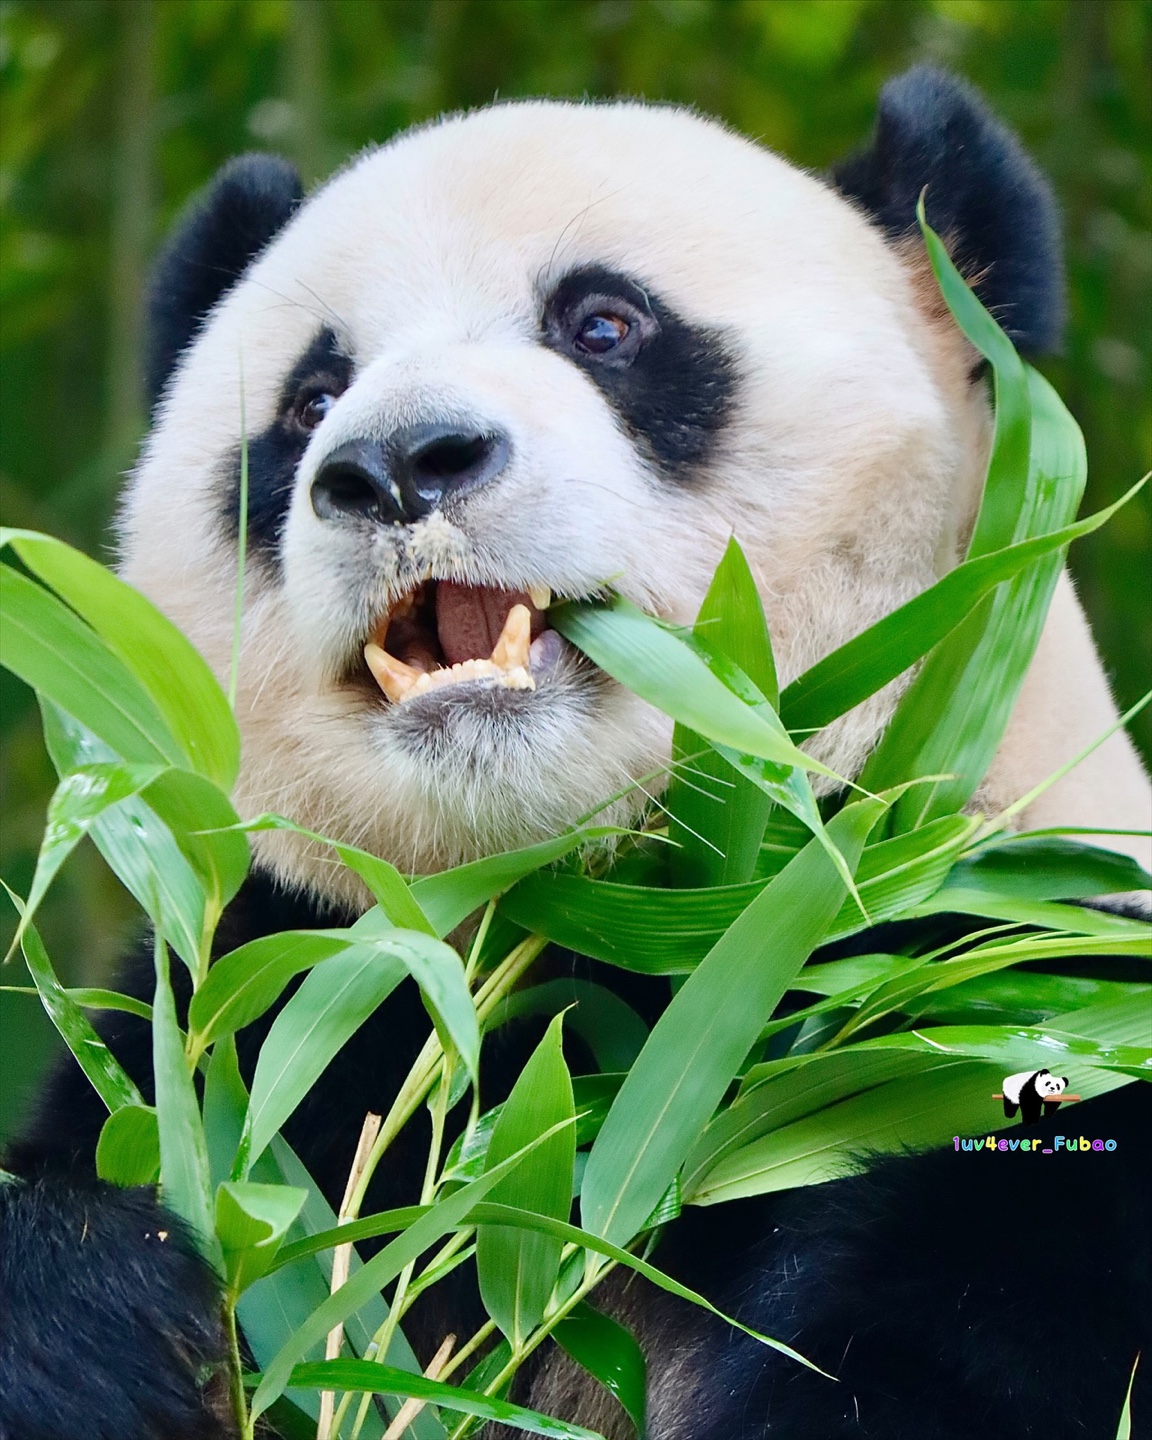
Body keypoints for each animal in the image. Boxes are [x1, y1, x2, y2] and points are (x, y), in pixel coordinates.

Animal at [2, 64, 1152, 1440]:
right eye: (311, 399)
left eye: (602, 325)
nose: (395, 465)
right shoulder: (268, 997)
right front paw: (99, 1315)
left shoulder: (1008, 992)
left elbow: (968, 1318)